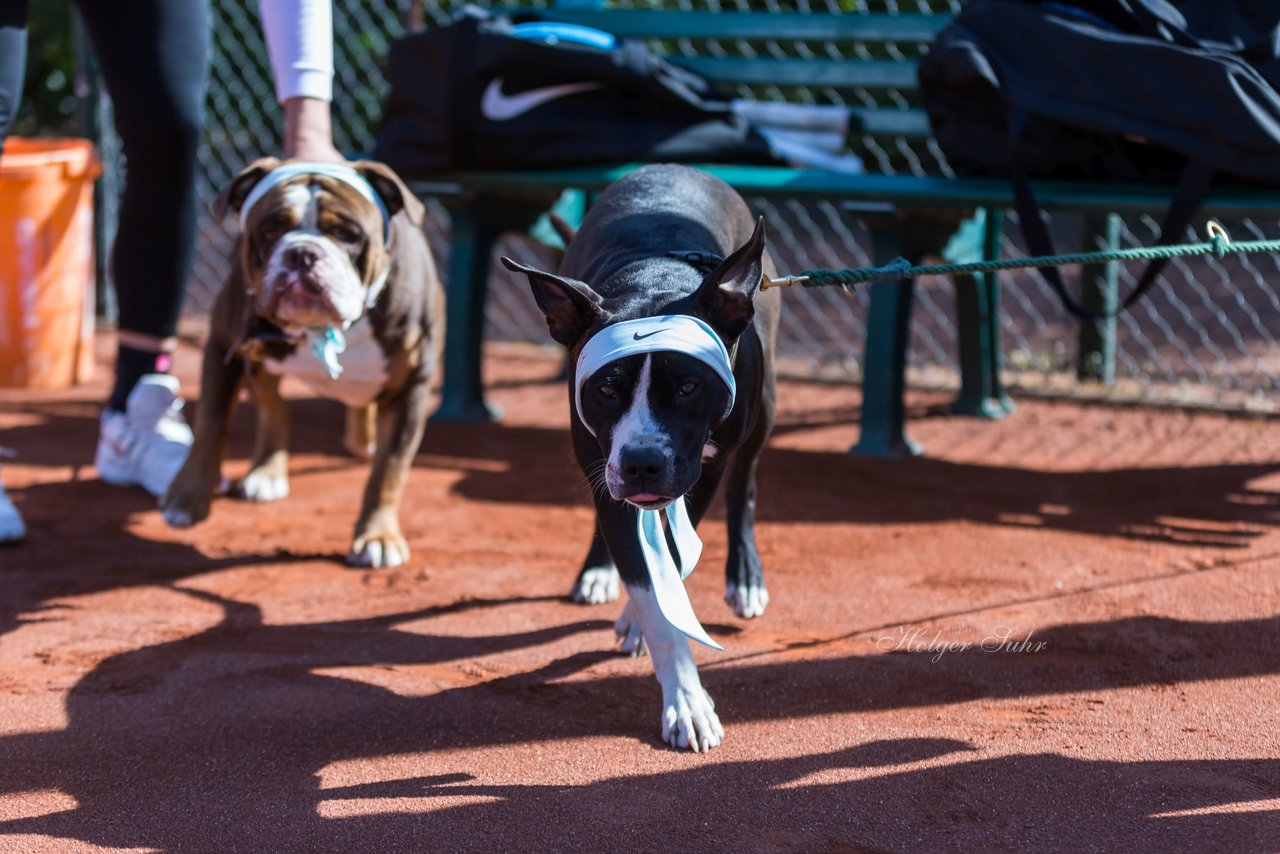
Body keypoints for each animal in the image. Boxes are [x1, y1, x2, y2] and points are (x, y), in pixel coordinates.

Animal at [501, 163, 778, 752]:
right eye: (606, 388)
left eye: (689, 385)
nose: (642, 464)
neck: (656, 279)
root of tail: (673, 166)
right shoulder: (608, 469)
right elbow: (650, 585)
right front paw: (686, 701)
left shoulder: (698, 473)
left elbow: (669, 558)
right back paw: (600, 573)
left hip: (762, 409)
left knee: (745, 486)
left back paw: (745, 577)